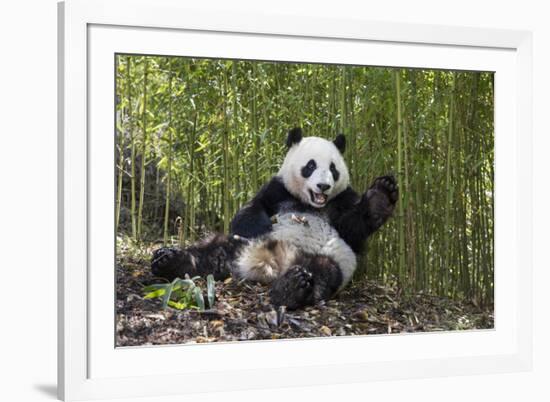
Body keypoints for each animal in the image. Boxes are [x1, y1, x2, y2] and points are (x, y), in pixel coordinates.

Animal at [153, 127, 398, 310]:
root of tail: (269, 266)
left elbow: (353, 228)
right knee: (210, 251)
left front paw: (381, 195)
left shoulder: (342, 200)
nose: (323, 186)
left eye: (333, 169)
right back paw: (169, 260)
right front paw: (263, 225)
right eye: (311, 165)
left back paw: (292, 288)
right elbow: (252, 208)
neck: (310, 204)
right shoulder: (278, 189)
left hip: (331, 259)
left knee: (323, 273)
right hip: (237, 246)